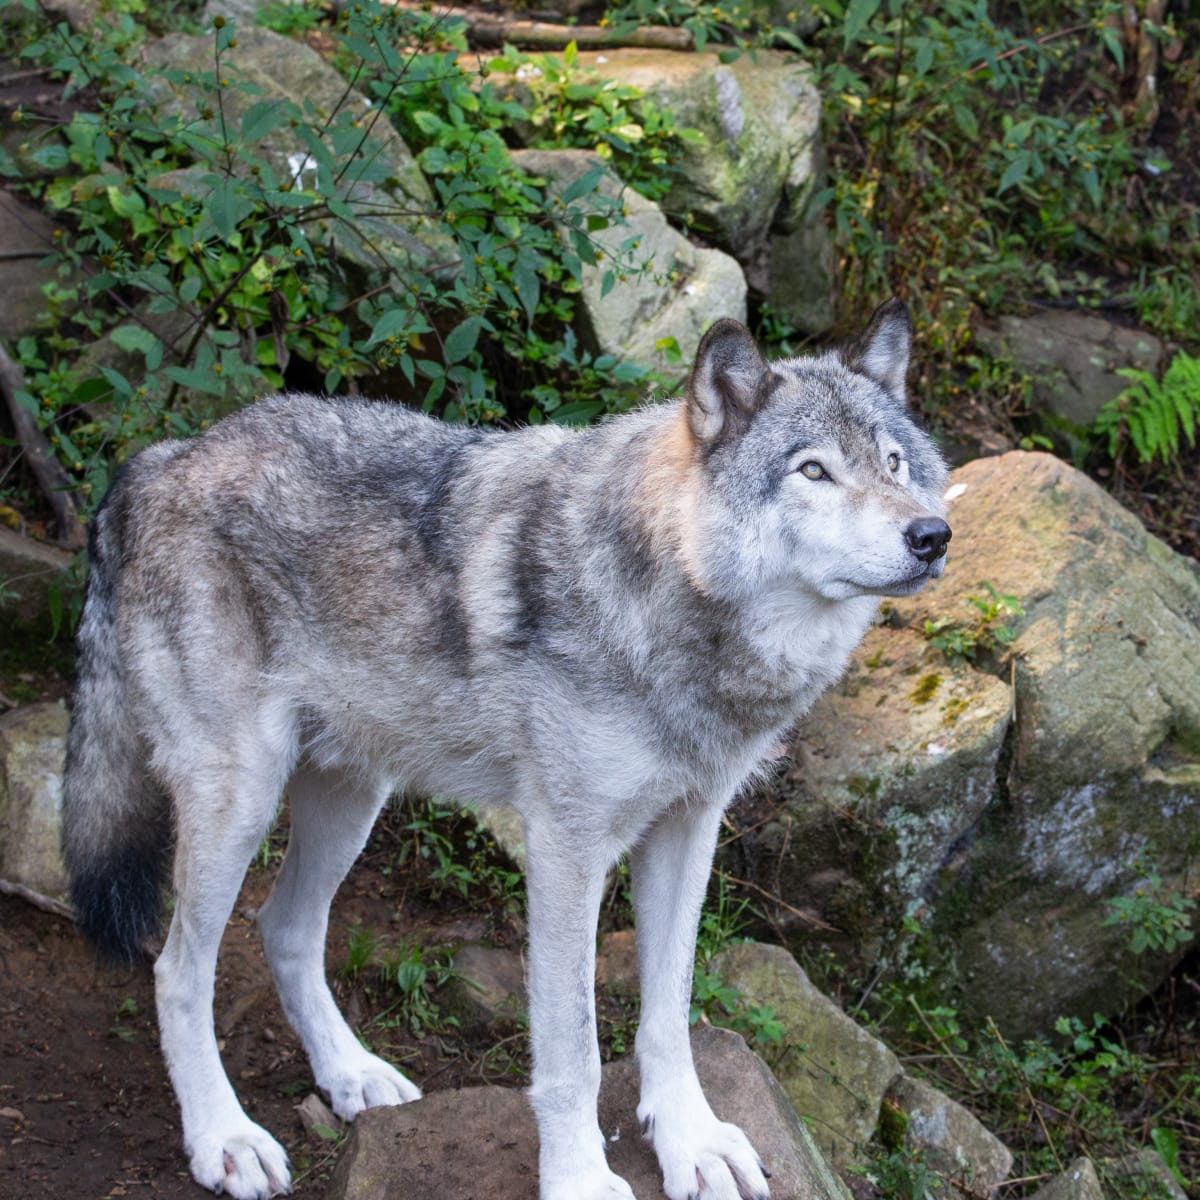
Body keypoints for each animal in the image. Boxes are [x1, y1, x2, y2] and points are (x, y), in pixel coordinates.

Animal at [62, 299, 949, 1200]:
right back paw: (224, 1137)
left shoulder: (687, 830)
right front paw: (583, 1180)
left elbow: (669, 1013)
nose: (933, 534)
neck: (668, 604)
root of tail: (162, 458)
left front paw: (692, 1143)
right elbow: (574, 1051)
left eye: (894, 462)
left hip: (352, 798)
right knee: (178, 971)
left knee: (285, 928)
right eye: (813, 472)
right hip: (241, 801)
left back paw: (352, 1075)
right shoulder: (565, 848)